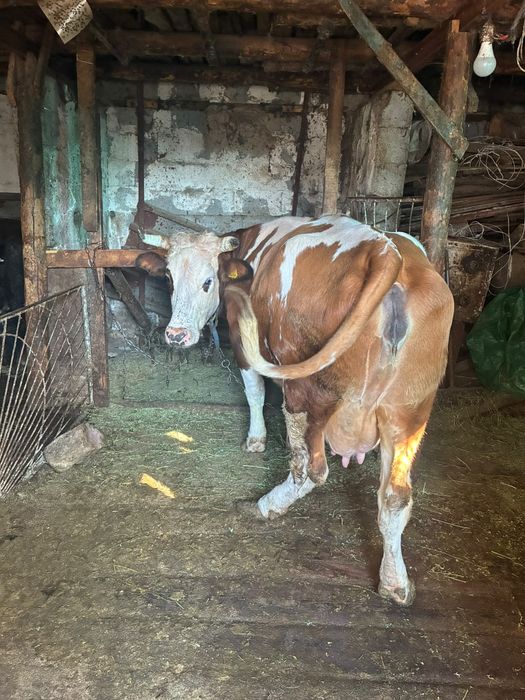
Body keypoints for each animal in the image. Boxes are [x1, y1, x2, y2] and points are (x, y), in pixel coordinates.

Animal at [136, 215, 454, 606]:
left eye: (208, 281)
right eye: (168, 278)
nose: (176, 335)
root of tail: (384, 252)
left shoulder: (242, 342)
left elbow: (254, 392)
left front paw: (255, 440)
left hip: (305, 390)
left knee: (310, 468)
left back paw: (265, 505)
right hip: (409, 413)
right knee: (394, 498)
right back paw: (395, 582)